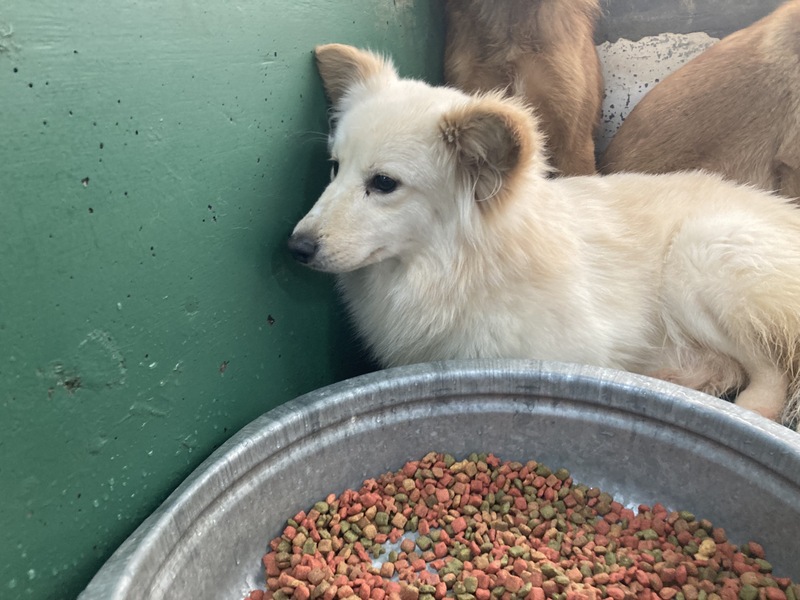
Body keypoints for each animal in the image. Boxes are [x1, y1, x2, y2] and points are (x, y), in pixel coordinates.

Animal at [288, 43, 800, 429]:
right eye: (335, 168)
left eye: (384, 183)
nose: (296, 247)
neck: (459, 268)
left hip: (700, 257)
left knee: (770, 369)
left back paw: (748, 411)